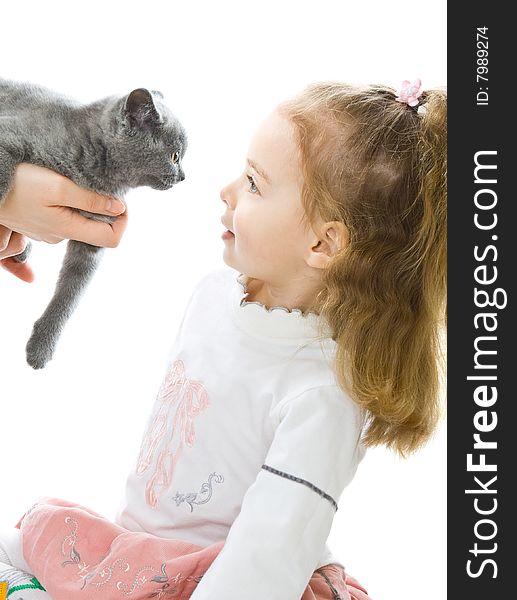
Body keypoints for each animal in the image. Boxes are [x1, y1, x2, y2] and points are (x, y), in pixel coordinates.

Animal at [0, 77, 185, 368]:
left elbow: (69, 295)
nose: (184, 176)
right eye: (175, 156)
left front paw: (41, 346)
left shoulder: (93, 238)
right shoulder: (8, 134)